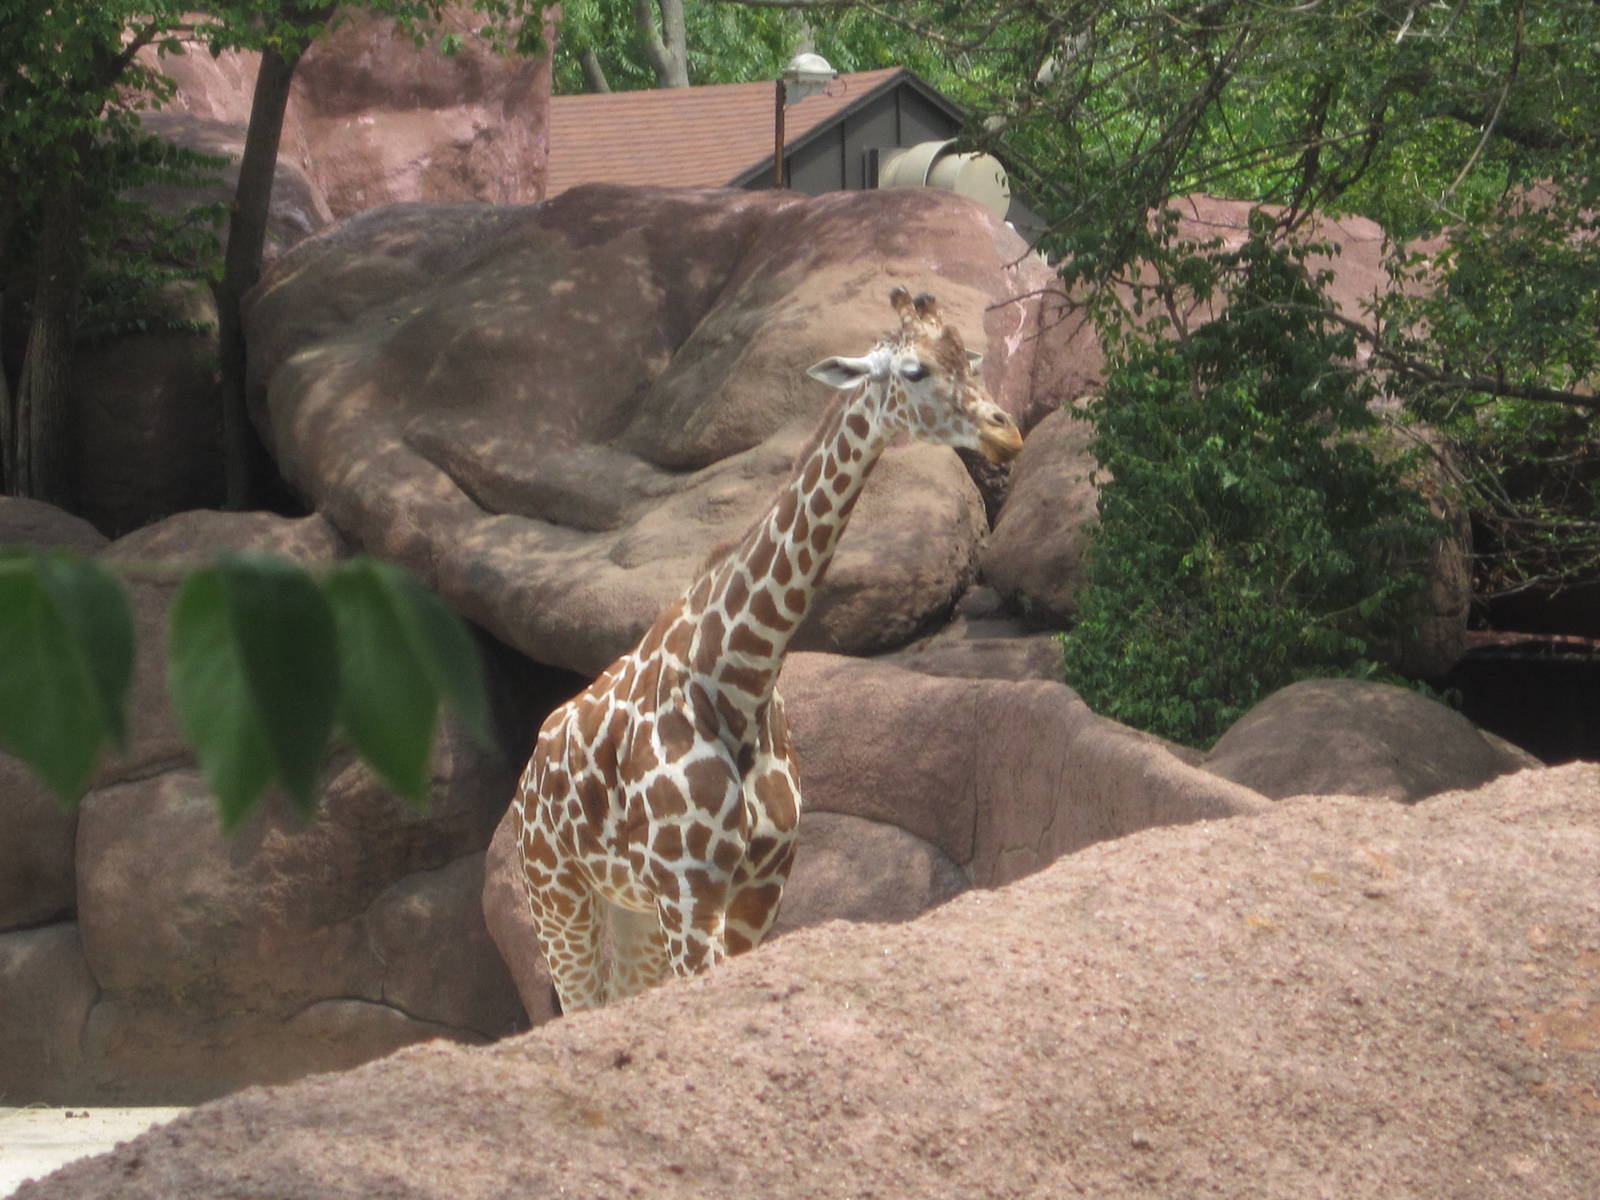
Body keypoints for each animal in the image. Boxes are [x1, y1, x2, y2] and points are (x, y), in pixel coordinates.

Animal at [512, 287, 1024, 1013]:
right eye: (915, 370)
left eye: (967, 359)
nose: (1007, 433)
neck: (741, 680)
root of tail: (530, 770)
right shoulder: (689, 889)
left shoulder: (762, 883)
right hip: (557, 891)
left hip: (628, 906)